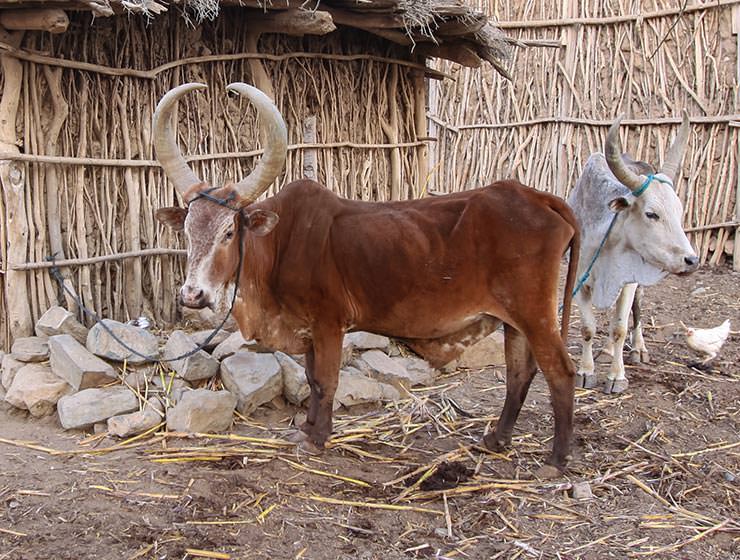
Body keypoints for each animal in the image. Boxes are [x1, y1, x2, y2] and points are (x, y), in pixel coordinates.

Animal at [153, 83, 581, 474]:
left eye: (229, 232)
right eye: (187, 231)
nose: (192, 295)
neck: (278, 244)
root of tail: (536, 197)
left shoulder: (329, 323)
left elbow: (326, 380)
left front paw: (318, 439)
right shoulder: (310, 330)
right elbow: (311, 379)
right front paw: (308, 428)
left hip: (535, 314)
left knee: (560, 372)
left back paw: (557, 460)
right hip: (514, 320)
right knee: (519, 372)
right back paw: (496, 440)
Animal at [567, 113, 699, 394]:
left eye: (679, 211)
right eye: (651, 214)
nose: (691, 260)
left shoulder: (627, 278)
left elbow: (619, 327)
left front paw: (616, 377)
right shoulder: (580, 280)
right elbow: (587, 328)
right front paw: (585, 371)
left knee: (636, 309)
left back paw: (638, 348)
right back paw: (606, 350)